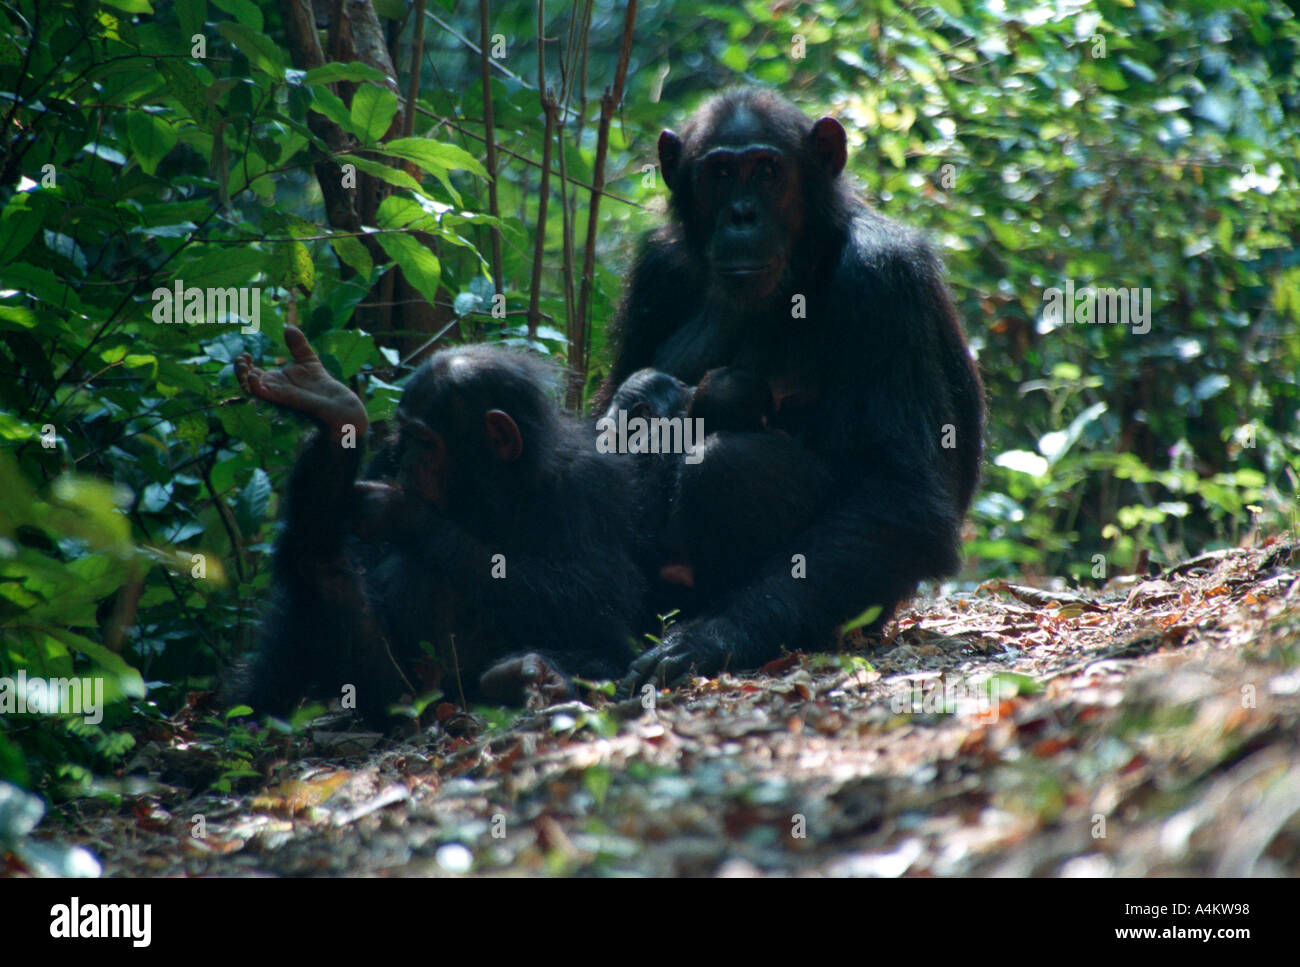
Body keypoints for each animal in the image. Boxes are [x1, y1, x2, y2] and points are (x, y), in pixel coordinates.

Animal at [231, 324, 647, 717]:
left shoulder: (589, 485)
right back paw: (333, 409)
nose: (407, 462)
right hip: (396, 687)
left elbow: (594, 596)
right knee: (321, 568)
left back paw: (532, 675)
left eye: (425, 442)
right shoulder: (385, 457)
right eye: (406, 436)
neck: (496, 485)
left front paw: (404, 515)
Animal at [600, 85, 982, 686]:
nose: (742, 214)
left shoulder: (884, 277)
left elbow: (903, 494)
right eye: (720, 175)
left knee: (729, 465)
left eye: (767, 170)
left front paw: (712, 639)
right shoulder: (653, 272)